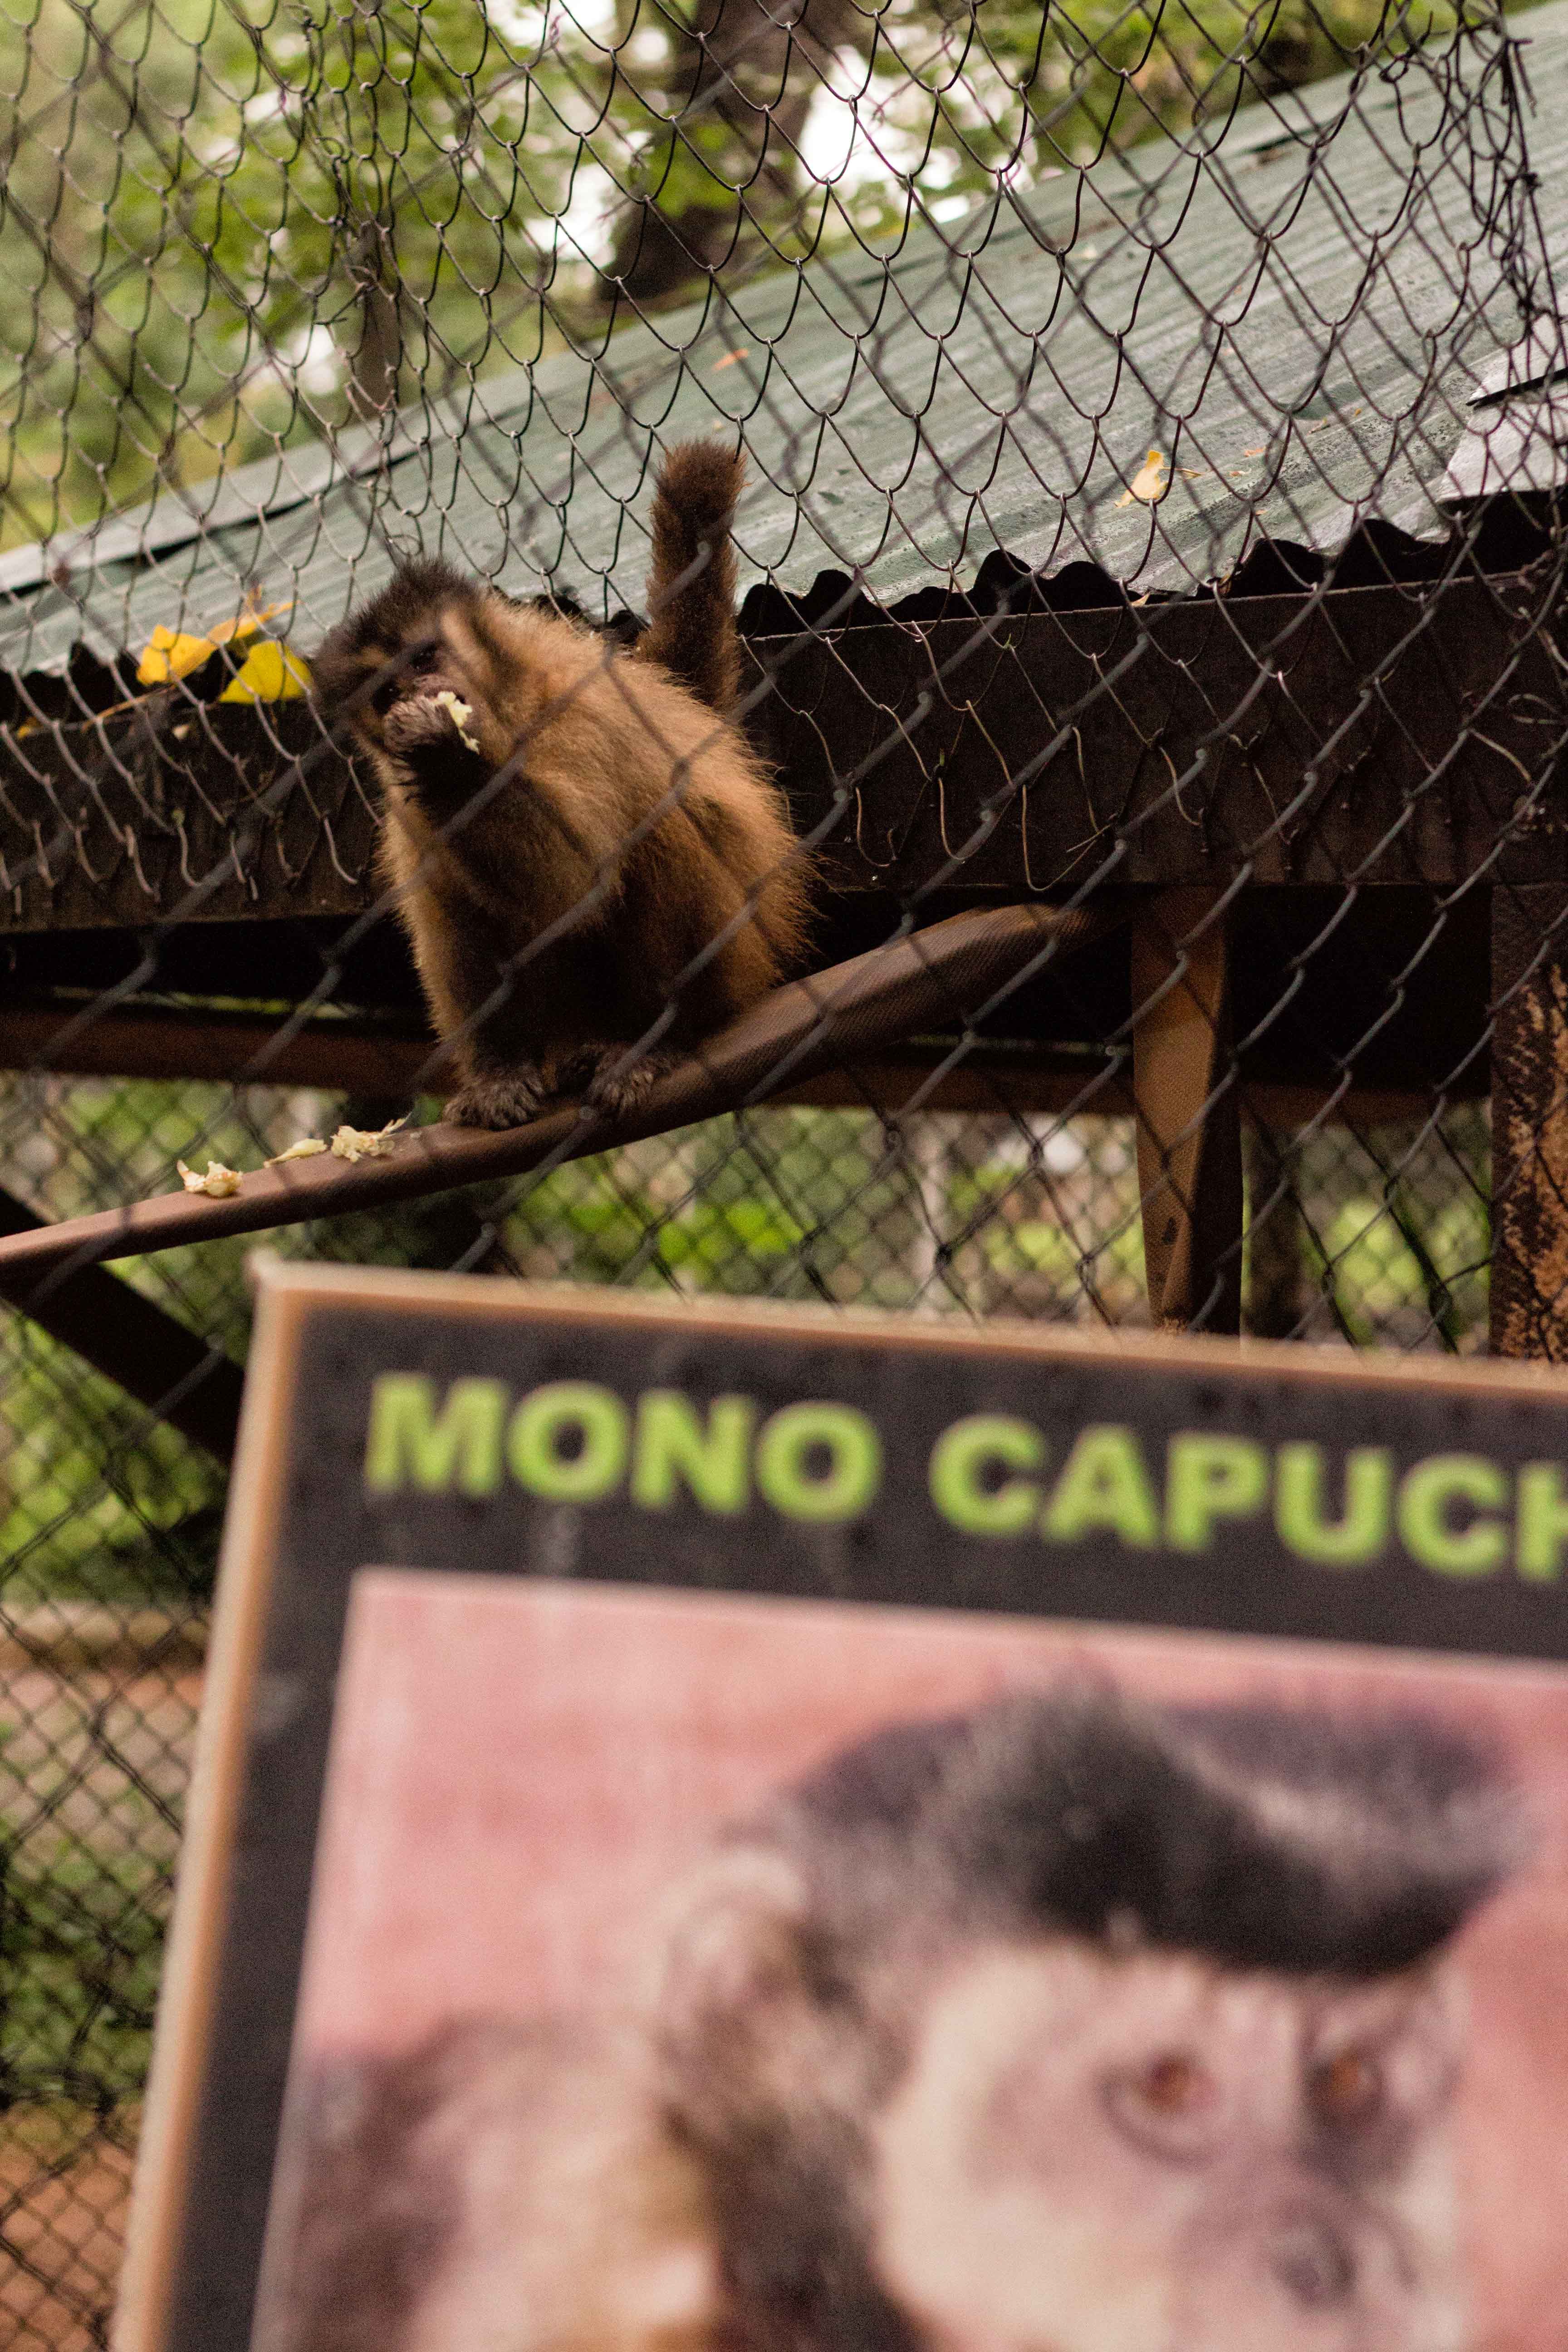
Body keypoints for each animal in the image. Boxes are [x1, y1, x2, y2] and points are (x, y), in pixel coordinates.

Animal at [315, 449, 818, 1138]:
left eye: (423, 659)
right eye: (386, 694)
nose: (418, 696)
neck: (504, 714)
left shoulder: (573, 710)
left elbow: (581, 883)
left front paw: (449, 763)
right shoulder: (402, 798)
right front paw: (498, 1073)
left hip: (740, 959)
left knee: (666, 825)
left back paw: (663, 1038)